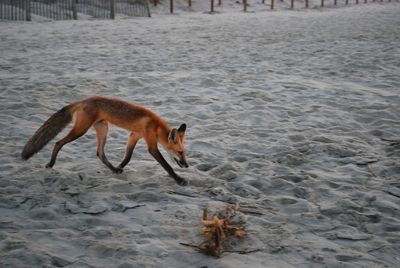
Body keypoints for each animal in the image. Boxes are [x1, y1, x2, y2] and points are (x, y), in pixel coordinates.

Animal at [21, 96, 189, 186]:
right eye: (180, 152)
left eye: (184, 153)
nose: (187, 165)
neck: (155, 126)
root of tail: (83, 100)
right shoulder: (151, 144)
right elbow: (167, 166)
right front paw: (179, 179)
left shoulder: (134, 135)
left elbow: (128, 157)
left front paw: (119, 167)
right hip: (81, 130)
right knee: (58, 143)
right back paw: (50, 164)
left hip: (103, 129)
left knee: (100, 153)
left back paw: (113, 169)